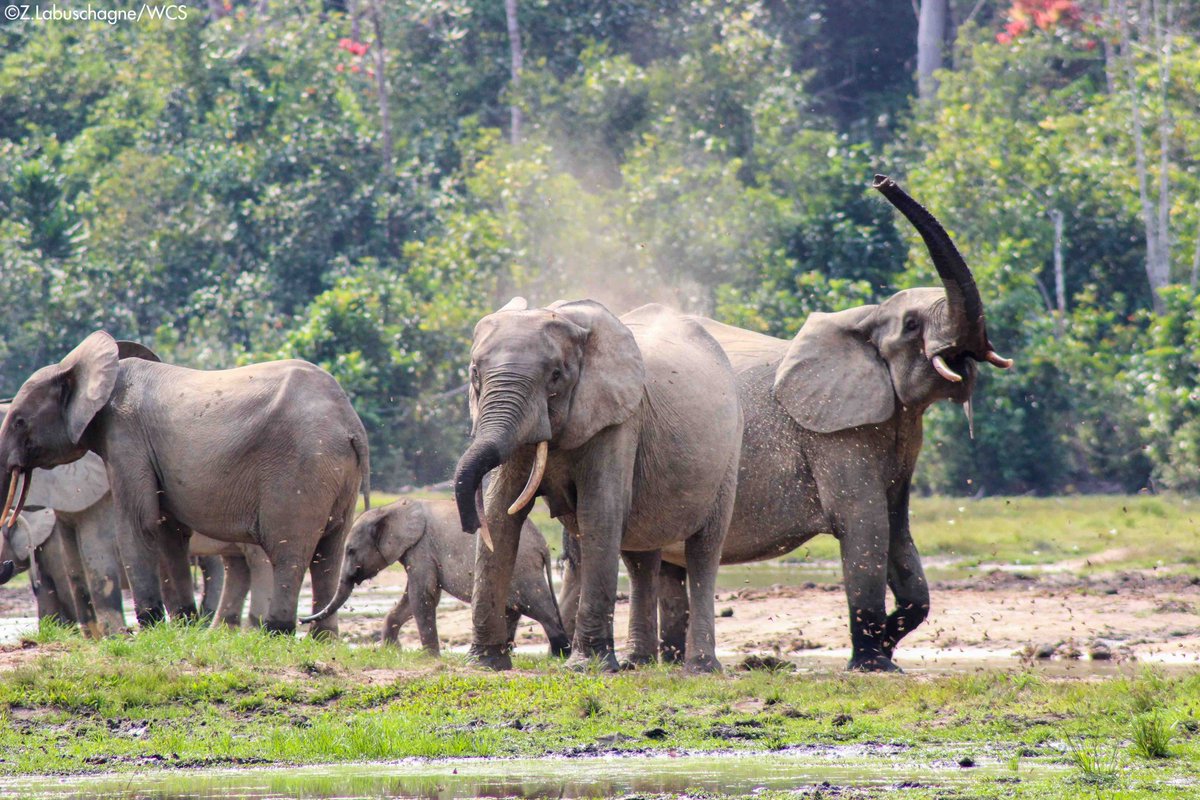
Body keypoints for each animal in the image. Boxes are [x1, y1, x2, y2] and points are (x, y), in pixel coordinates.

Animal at [0, 333, 371, 636]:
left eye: (19, 421)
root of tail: (351, 424)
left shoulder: (126, 438)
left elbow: (138, 523)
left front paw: (150, 629)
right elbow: (168, 531)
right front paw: (183, 625)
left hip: (301, 468)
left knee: (288, 551)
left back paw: (276, 632)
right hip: (336, 472)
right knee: (328, 551)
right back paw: (322, 637)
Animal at [304, 497, 570, 656]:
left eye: (350, 551)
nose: (303, 620)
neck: (393, 508)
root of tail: (544, 546)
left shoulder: (422, 547)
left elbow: (422, 594)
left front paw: (429, 657)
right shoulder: (416, 550)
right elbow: (412, 598)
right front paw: (393, 651)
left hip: (524, 569)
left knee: (540, 607)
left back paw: (560, 653)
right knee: (512, 609)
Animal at [453, 299, 742, 672]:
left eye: (556, 375)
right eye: (475, 373)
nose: (468, 524)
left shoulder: (618, 419)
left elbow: (599, 512)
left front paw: (586, 667)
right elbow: (502, 512)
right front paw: (484, 664)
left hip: (729, 454)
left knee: (704, 552)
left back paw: (700, 668)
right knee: (640, 559)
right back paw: (637, 662)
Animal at [600, 175, 1013, 672]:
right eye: (913, 325)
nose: (880, 180)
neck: (864, 319)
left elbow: (898, 531)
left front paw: (887, 648)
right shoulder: (832, 437)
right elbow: (867, 526)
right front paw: (872, 664)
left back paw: (671, 661)